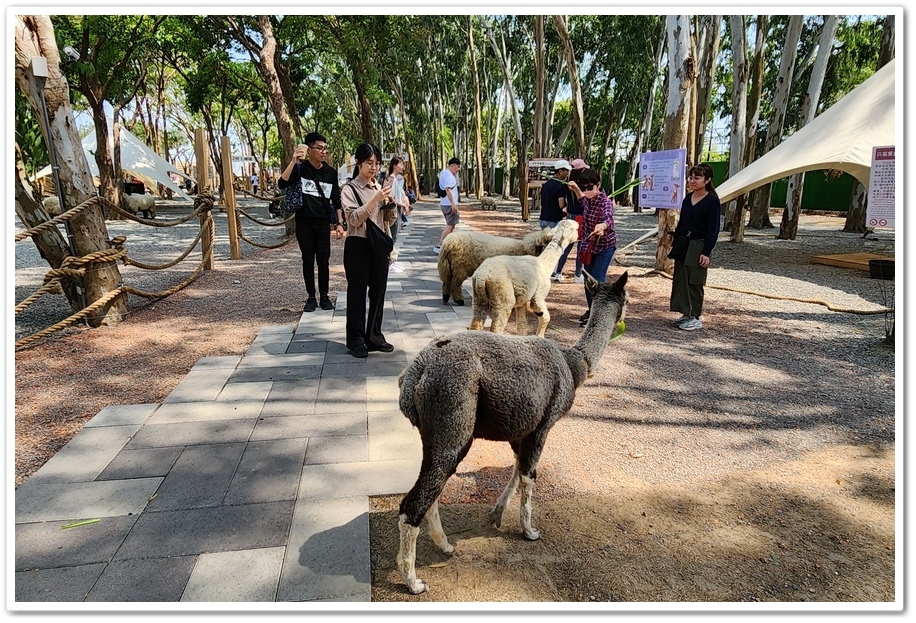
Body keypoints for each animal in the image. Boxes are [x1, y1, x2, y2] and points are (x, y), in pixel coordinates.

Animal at [398, 272, 632, 596]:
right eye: (627, 298)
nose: (626, 319)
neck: (574, 365)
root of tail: (415, 374)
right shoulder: (543, 425)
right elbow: (529, 475)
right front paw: (530, 530)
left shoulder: (520, 427)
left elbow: (517, 469)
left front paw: (497, 514)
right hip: (452, 424)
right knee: (414, 502)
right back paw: (413, 582)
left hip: (434, 433)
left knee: (432, 488)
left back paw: (445, 546)